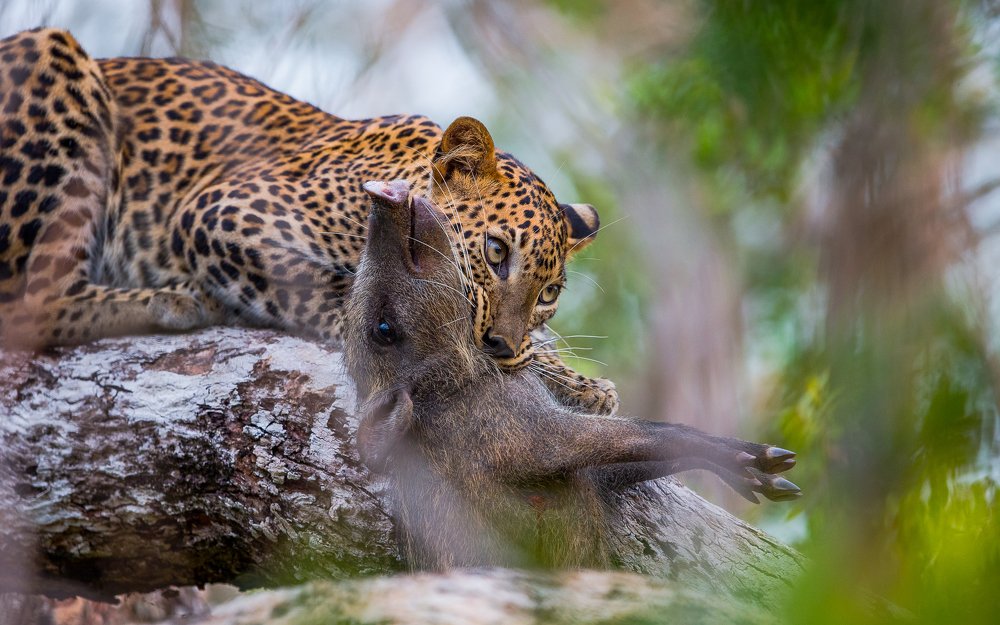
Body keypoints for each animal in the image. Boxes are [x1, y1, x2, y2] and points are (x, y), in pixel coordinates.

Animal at [0, 27, 617, 414]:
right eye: (495, 252)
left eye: (549, 293)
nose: (503, 346)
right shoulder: (219, 210)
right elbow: (334, 289)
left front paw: (577, 380)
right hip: (48, 53)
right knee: (28, 302)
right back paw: (173, 301)